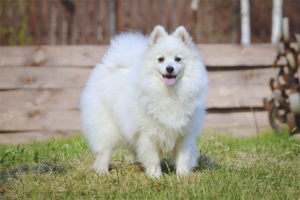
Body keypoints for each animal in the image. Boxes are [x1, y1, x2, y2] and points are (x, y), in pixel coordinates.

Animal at [79, 25, 207, 177]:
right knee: (103, 151)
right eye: (160, 59)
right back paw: (102, 171)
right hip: (106, 127)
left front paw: (182, 175)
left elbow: (183, 157)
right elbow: (152, 157)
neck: (168, 93)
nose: (169, 68)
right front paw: (155, 175)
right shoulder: (147, 134)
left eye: (178, 59)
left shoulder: (185, 134)